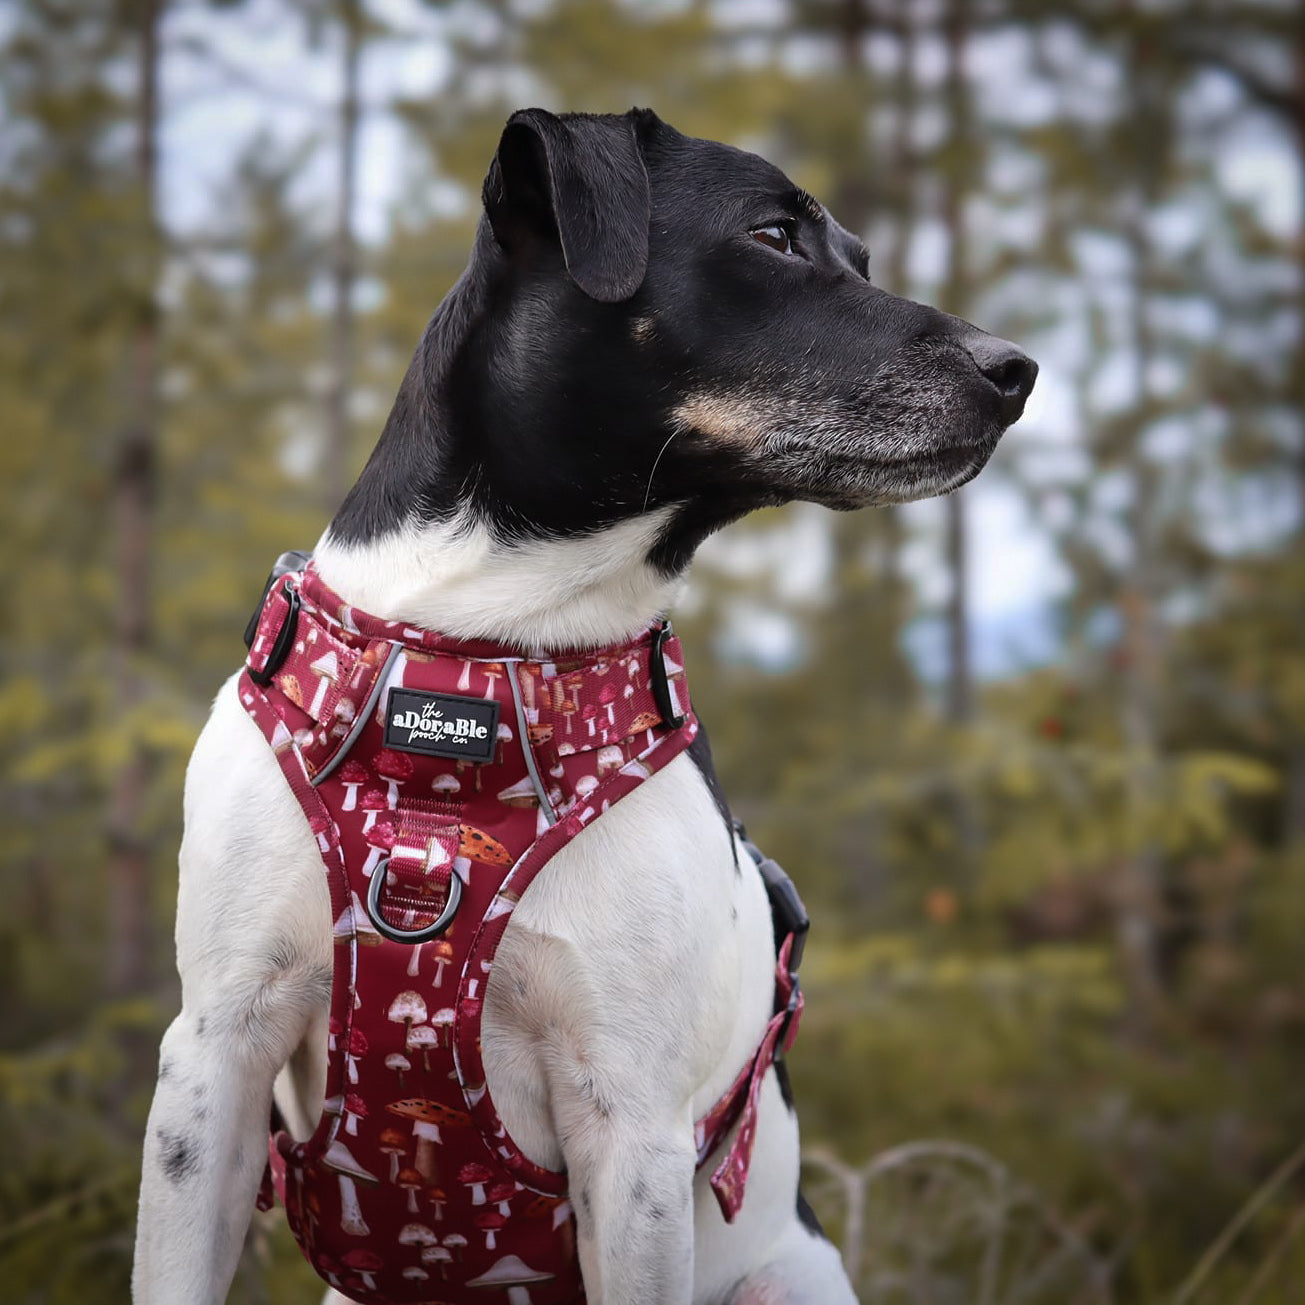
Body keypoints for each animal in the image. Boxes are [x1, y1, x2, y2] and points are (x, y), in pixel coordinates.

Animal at [135, 107, 1038, 1299]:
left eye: (859, 258)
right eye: (773, 236)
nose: (1018, 368)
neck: (478, 658)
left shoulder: (630, 1130)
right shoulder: (214, 1058)